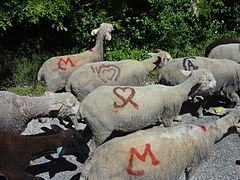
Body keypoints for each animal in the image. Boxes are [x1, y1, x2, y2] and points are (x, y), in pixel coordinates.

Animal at [79, 68, 216, 147]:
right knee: (92, 145)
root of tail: (83, 107)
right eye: (209, 79)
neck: (178, 92)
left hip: (93, 124)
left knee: (84, 136)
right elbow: (168, 126)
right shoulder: (168, 115)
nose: (216, 85)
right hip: (101, 129)